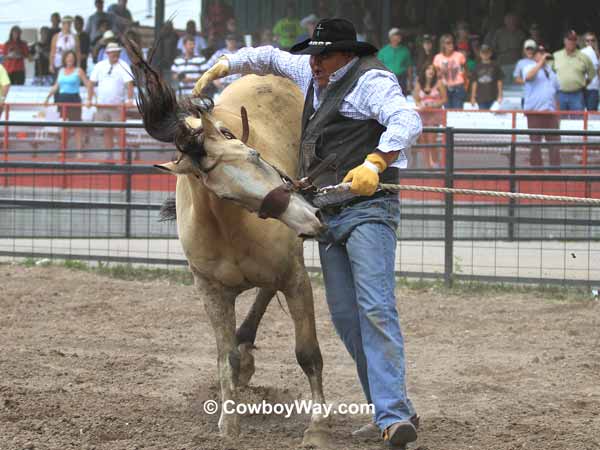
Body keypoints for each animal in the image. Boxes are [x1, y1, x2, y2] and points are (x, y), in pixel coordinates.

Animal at [125, 39, 330, 446]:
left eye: (255, 155)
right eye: (223, 192)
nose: (310, 216)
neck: (230, 230)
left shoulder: (296, 279)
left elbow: (307, 353)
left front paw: (316, 425)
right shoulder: (210, 291)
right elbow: (226, 357)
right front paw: (229, 422)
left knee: (267, 295)